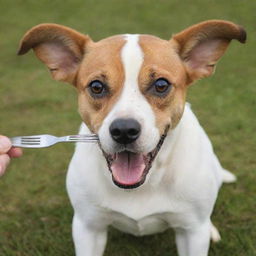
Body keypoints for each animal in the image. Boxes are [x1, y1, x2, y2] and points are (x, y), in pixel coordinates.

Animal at [18, 20, 246, 256]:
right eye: (96, 86)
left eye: (161, 85)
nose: (124, 131)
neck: (143, 184)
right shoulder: (88, 227)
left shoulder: (191, 232)